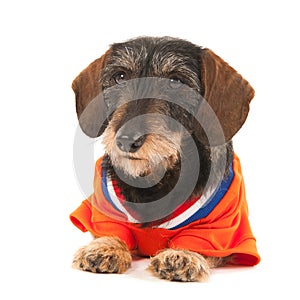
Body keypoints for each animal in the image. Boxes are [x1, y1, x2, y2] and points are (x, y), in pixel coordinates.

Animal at [69, 37, 258, 282]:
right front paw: (105, 247)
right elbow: (111, 228)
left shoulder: (219, 225)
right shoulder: (104, 209)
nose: (126, 140)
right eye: (120, 76)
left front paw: (183, 255)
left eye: (175, 81)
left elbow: (199, 240)